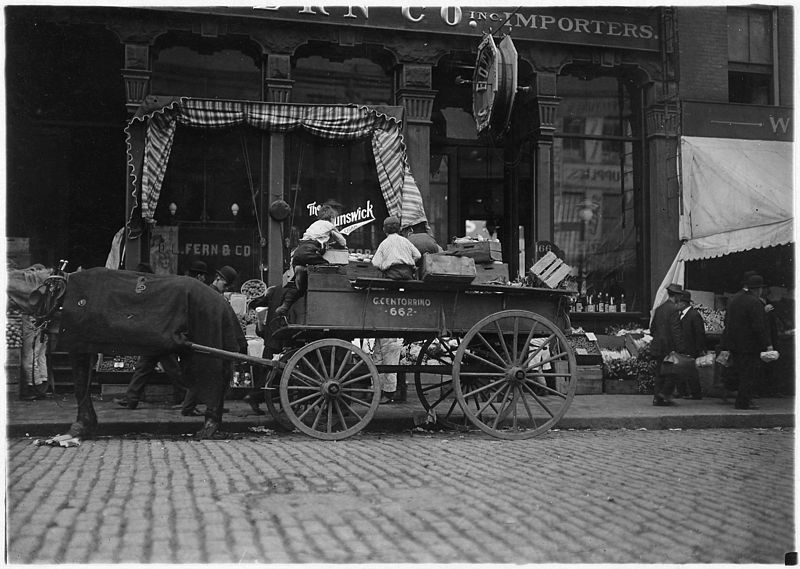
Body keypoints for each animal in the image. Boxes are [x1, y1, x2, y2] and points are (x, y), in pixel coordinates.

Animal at [7, 266, 245, 440]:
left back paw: (209, 424)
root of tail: (223, 303)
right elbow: (83, 384)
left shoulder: (77, 341)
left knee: (213, 378)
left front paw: (80, 427)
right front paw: (84, 425)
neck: (59, 294)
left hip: (207, 344)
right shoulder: (86, 345)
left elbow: (80, 386)